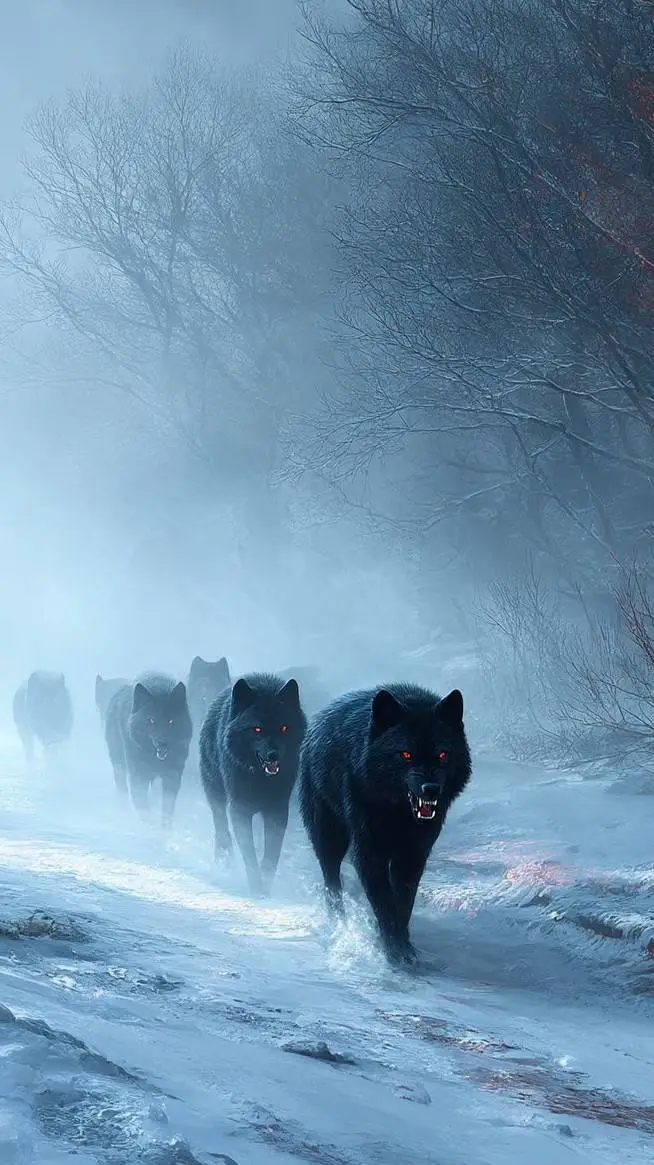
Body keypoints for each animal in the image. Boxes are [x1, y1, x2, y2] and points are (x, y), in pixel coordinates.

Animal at [104, 672, 192, 826]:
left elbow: (167, 807)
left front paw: (165, 829)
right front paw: (147, 828)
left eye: (171, 721)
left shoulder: (172, 775)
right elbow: (143, 806)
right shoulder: (139, 775)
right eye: (151, 720)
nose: (162, 743)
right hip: (119, 765)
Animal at [200, 673, 307, 897]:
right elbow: (249, 854)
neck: (260, 780)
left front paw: (265, 884)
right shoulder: (239, 809)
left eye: (284, 727)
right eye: (257, 729)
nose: (273, 755)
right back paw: (224, 860)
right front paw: (256, 888)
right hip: (216, 794)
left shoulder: (277, 811)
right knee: (221, 827)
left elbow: (271, 855)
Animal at [298, 684, 471, 965]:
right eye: (406, 754)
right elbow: (383, 902)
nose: (431, 789)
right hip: (329, 837)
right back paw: (338, 921)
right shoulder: (368, 852)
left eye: (442, 754)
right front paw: (393, 950)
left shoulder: (413, 854)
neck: (397, 814)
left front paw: (404, 945)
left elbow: (403, 902)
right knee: (331, 879)